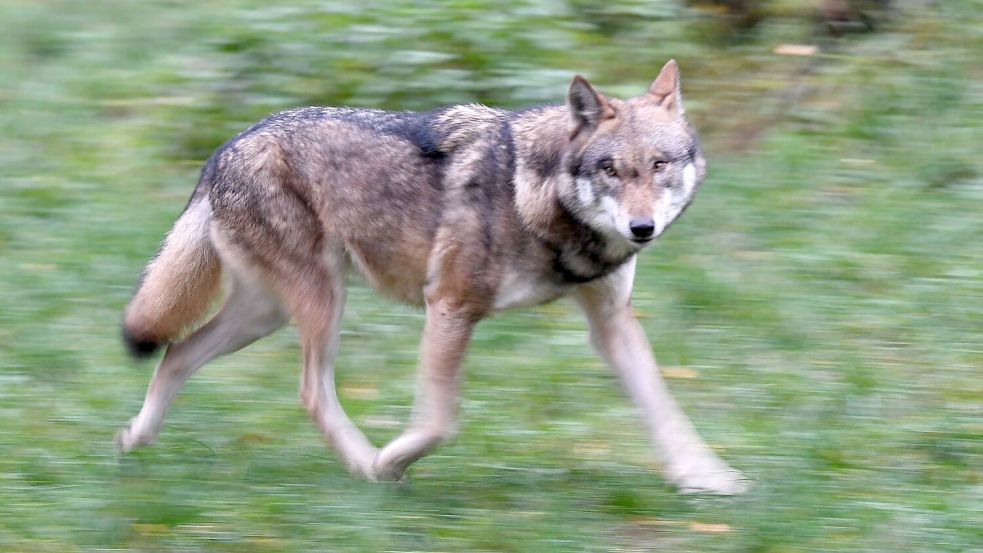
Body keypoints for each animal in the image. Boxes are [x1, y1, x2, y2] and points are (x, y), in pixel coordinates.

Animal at [117, 60, 748, 494]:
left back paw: (135, 439)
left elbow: (664, 408)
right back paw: (365, 466)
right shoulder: (449, 305)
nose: (642, 228)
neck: (537, 198)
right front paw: (391, 460)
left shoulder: (611, 323)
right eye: (612, 170)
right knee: (309, 392)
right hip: (320, 304)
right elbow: (440, 421)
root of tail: (225, 147)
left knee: (177, 352)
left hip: (265, 314)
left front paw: (708, 479)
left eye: (660, 165)